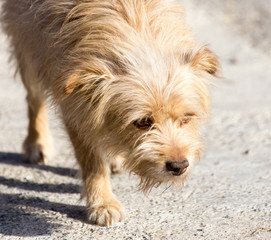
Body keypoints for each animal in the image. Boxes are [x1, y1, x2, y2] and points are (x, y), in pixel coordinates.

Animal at [1, 0, 220, 225]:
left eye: (186, 118)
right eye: (142, 122)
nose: (179, 166)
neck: (134, 22)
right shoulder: (75, 106)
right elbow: (93, 162)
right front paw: (102, 203)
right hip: (28, 49)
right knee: (34, 99)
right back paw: (37, 143)